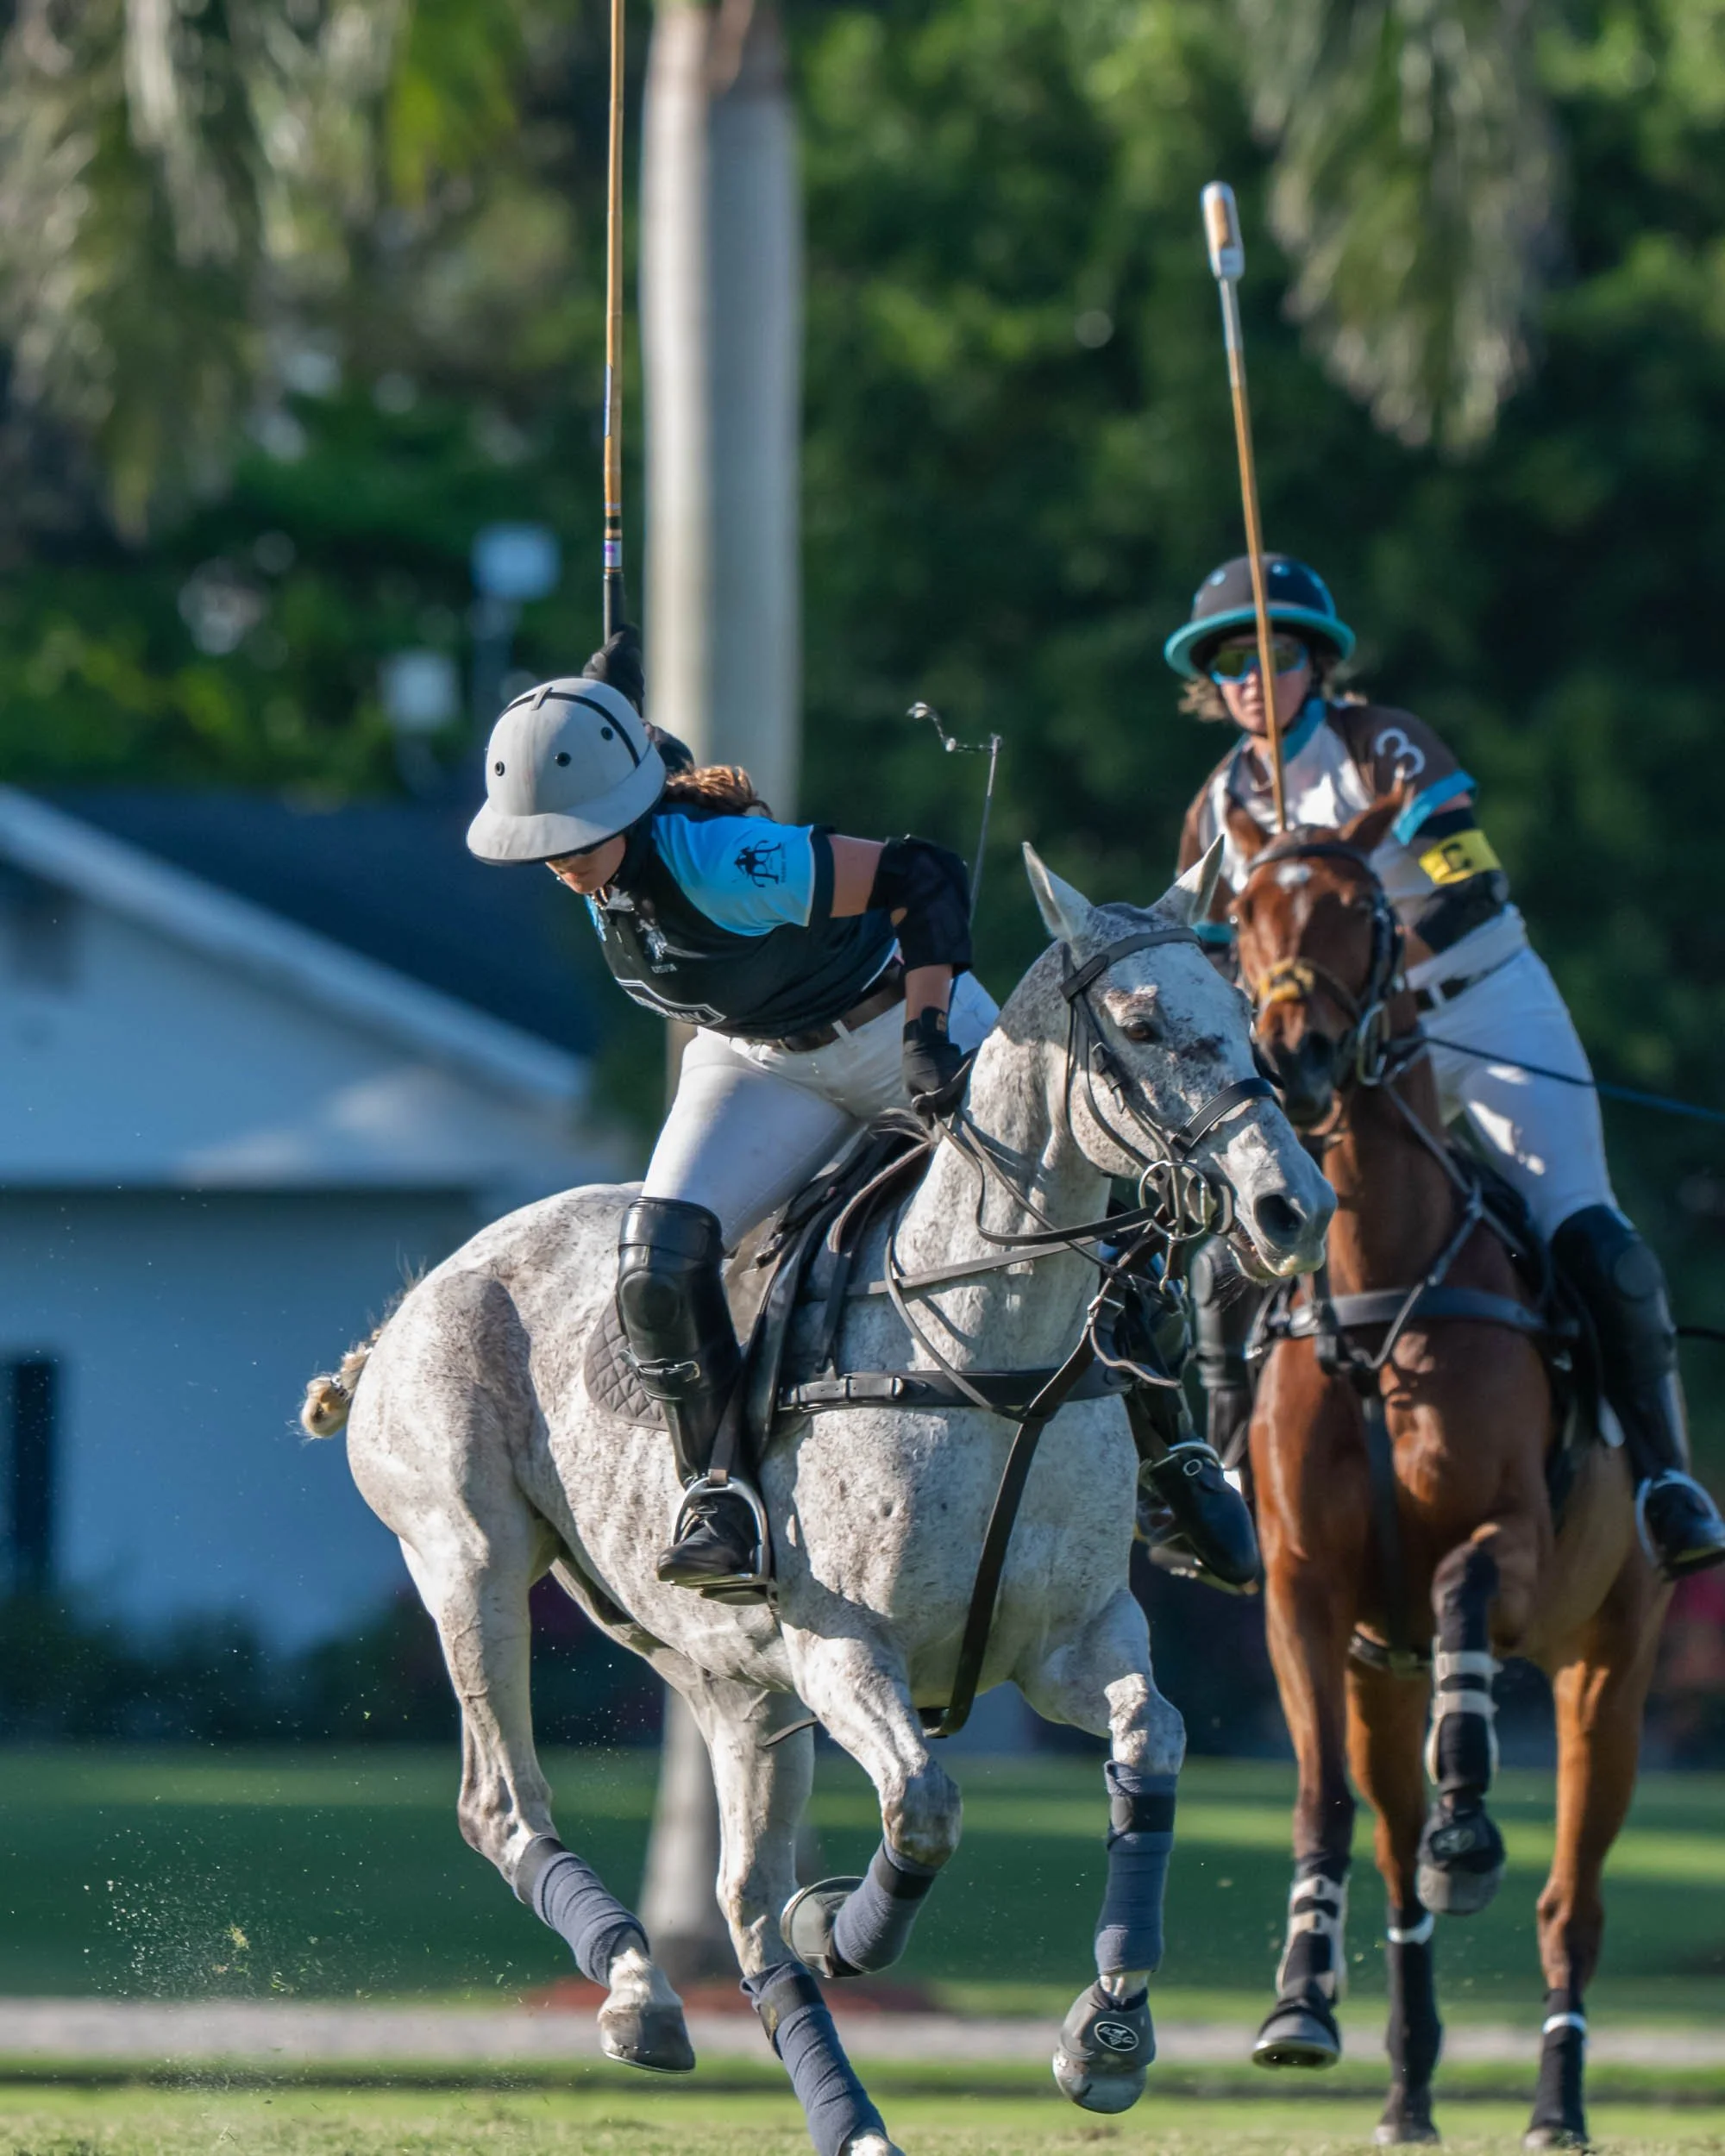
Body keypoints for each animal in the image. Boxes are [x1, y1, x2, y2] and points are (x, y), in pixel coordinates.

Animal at [301, 843, 1332, 2156]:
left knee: (740, 1897)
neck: (988, 1348)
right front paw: (848, 1927)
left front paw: (1107, 2034)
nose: (1293, 1209)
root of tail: (411, 1304)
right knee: (504, 1806)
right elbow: (926, 1807)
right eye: (1143, 1024)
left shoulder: (1074, 1641)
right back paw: (639, 1990)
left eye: (1244, 1014)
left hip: (727, 1677)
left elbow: (1153, 1744)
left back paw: (832, 2106)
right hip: (469, 1563)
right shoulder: (844, 1648)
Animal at [1226, 798, 1666, 2149]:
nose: (1297, 1054)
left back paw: (1556, 2104)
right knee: (1394, 1868)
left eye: (1361, 909)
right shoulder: (1307, 1596)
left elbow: (1466, 1587)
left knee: (1571, 1904)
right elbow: (1318, 1798)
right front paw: (1298, 2003)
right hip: (1383, 1680)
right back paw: (1408, 2091)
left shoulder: (1512, 1539)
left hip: (1610, 1669)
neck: (1378, 1289)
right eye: (1237, 914)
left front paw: (1472, 1819)